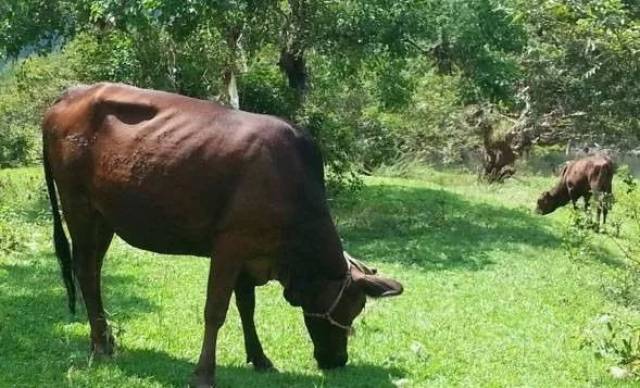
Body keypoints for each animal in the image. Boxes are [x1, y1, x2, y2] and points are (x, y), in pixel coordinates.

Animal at [42, 83, 402, 386]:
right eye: (351, 309)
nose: (337, 361)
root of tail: (71, 93)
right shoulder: (231, 243)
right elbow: (215, 310)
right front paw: (204, 373)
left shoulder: (250, 253)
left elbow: (246, 306)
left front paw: (260, 358)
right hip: (79, 207)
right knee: (85, 271)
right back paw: (101, 346)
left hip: (104, 218)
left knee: (92, 270)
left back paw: (105, 339)